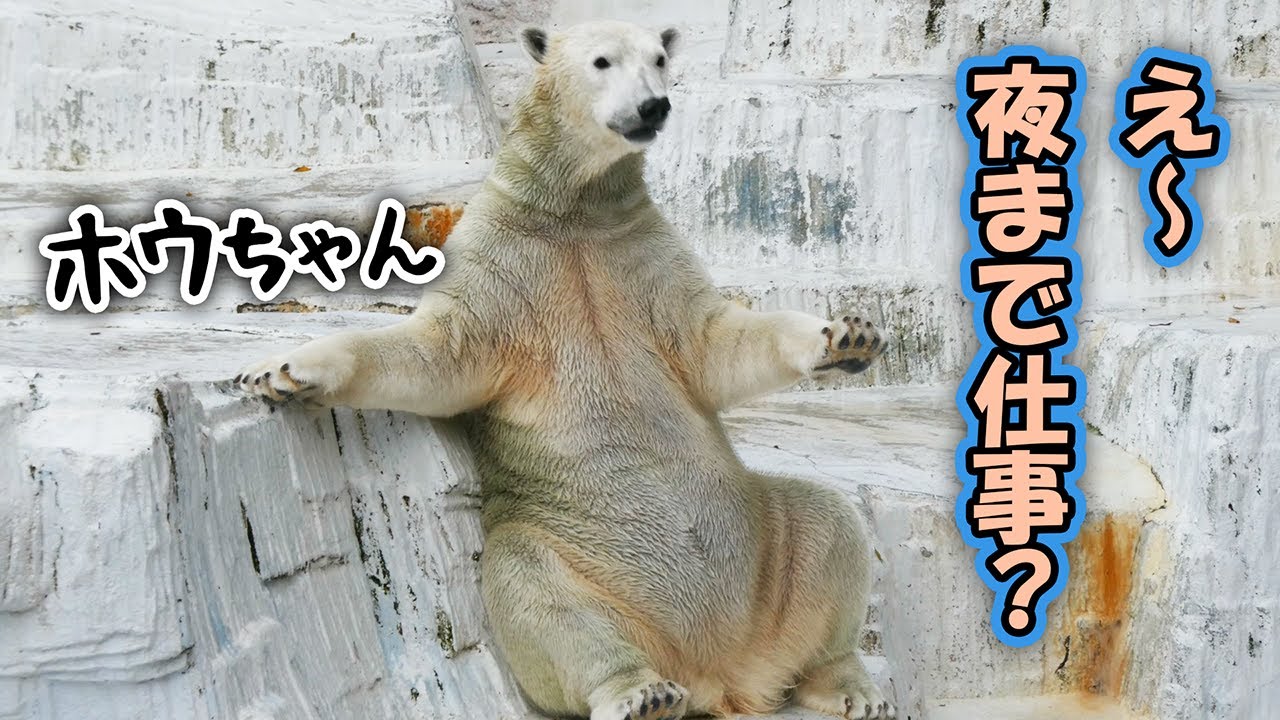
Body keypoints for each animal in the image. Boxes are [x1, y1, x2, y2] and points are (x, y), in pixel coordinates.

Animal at [236, 20, 894, 720]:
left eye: (659, 60)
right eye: (602, 61)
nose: (652, 106)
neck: (573, 212)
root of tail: (722, 672)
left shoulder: (642, 254)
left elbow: (714, 343)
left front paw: (848, 335)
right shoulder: (502, 264)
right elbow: (438, 357)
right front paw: (282, 373)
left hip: (764, 539)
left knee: (823, 524)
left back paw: (847, 686)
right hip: (577, 547)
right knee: (533, 583)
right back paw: (642, 692)